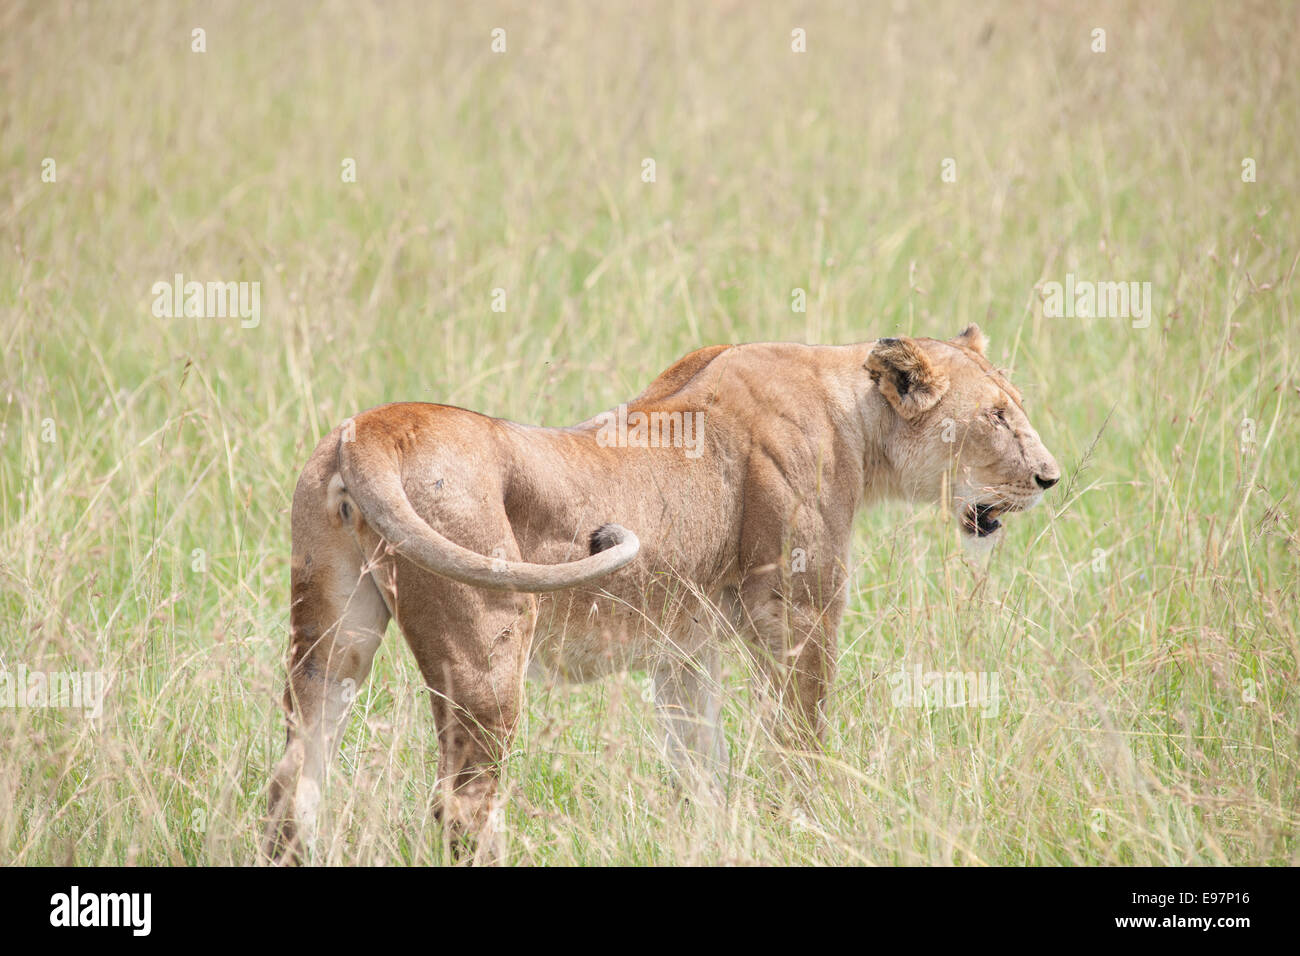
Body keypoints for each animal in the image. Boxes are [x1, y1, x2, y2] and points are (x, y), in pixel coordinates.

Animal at [264, 325, 1060, 863]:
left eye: (1014, 405)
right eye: (996, 414)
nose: (1050, 478)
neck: (855, 417)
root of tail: (373, 428)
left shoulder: (684, 647)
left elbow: (699, 766)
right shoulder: (801, 615)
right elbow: (800, 741)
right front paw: (805, 829)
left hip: (332, 637)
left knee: (291, 782)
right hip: (487, 641)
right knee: (462, 803)